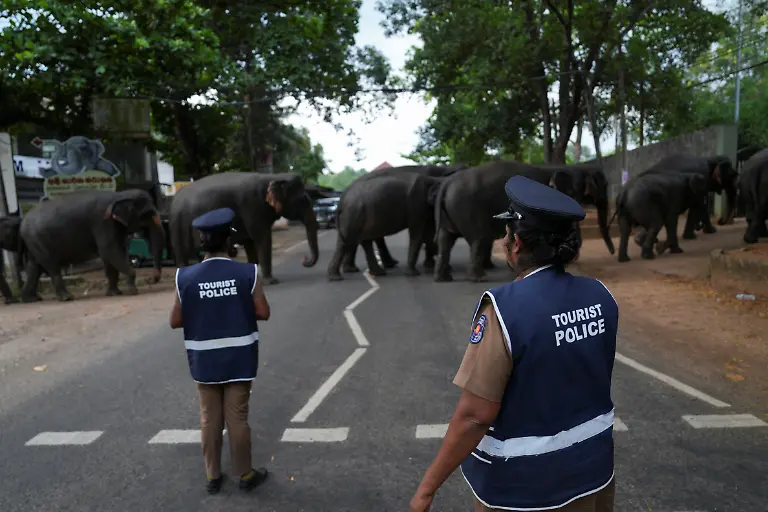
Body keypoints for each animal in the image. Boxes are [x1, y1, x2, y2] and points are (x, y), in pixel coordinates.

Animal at [19, 189, 165, 302]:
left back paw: (32, 299)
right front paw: (132, 290)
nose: (151, 279)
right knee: (51, 266)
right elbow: (110, 251)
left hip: (33, 242)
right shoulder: (103, 223)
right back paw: (67, 298)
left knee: (34, 267)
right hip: (38, 240)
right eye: (147, 213)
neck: (120, 195)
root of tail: (22, 222)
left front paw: (115, 293)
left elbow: (113, 255)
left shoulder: (114, 227)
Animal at [169, 172, 319, 284]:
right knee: (182, 254)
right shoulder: (252, 207)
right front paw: (272, 281)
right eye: (302, 200)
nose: (305, 260)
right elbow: (263, 239)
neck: (273, 176)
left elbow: (250, 243)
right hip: (177, 225)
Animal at [433, 160, 615, 282]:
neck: (573, 167)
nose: (612, 253)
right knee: (479, 239)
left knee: (445, 239)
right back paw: (479, 278)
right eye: (604, 184)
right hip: (467, 208)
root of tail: (447, 183)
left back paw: (444, 278)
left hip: (451, 210)